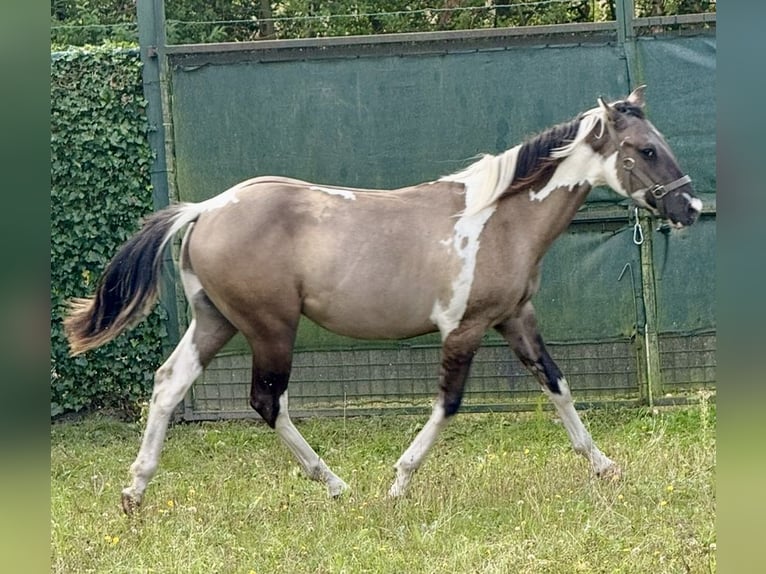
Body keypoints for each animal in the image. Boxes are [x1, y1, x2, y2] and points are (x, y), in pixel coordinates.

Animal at [64, 86, 702, 513]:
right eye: (645, 150)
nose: (689, 207)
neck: (499, 218)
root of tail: (204, 209)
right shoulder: (465, 328)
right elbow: (449, 403)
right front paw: (398, 482)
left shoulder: (515, 318)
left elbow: (558, 385)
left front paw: (606, 467)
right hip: (270, 327)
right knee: (267, 402)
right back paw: (337, 485)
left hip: (215, 321)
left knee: (168, 385)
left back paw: (134, 492)